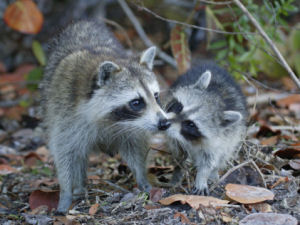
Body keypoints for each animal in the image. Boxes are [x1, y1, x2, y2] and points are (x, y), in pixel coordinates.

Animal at [40, 20, 171, 213]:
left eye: (156, 96)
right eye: (137, 102)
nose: (164, 123)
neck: (110, 119)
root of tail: (83, 23)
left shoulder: (134, 126)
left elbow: (136, 147)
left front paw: (142, 179)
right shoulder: (65, 115)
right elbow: (65, 152)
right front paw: (65, 193)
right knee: (79, 155)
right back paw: (79, 187)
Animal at [163, 62, 247, 194]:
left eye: (190, 124)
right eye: (179, 107)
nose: (164, 123)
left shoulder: (221, 138)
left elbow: (209, 160)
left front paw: (202, 176)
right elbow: (177, 151)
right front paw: (178, 169)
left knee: (224, 154)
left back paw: (214, 173)